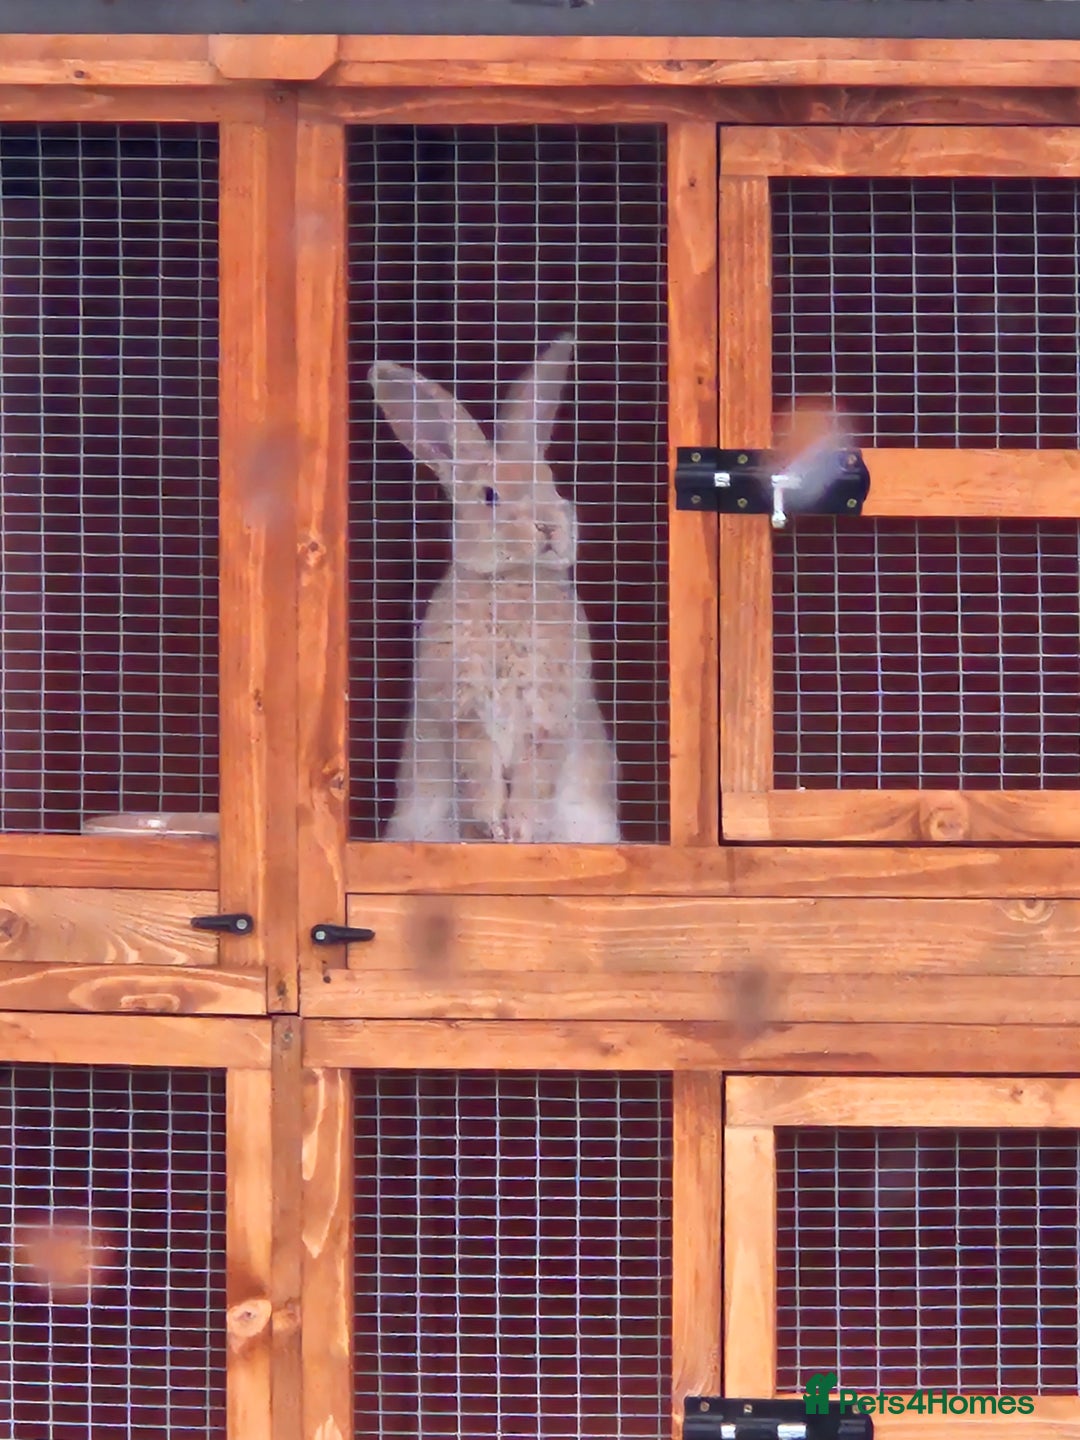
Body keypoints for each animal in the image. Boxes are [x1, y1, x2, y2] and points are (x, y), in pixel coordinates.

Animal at [367, 333, 621, 844]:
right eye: (489, 496)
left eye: (551, 481)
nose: (550, 526)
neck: (510, 581)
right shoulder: (464, 712)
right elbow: (479, 774)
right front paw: (490, 830)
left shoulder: (547, 717)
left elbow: (533, 778)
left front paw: (519, 832)